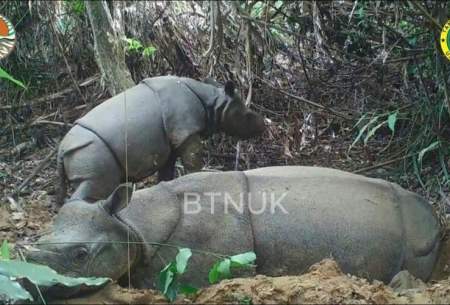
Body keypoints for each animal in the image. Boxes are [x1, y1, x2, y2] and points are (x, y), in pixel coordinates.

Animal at [56, 75, 268, 204]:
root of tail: (61, 149)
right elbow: (193, 163)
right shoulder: (186, 131)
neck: (213, 100)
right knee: (95, 187)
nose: (264, 124)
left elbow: (166, 173)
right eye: (247, 116)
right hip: (90, 151)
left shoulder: (173, 140)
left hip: (83, 152)